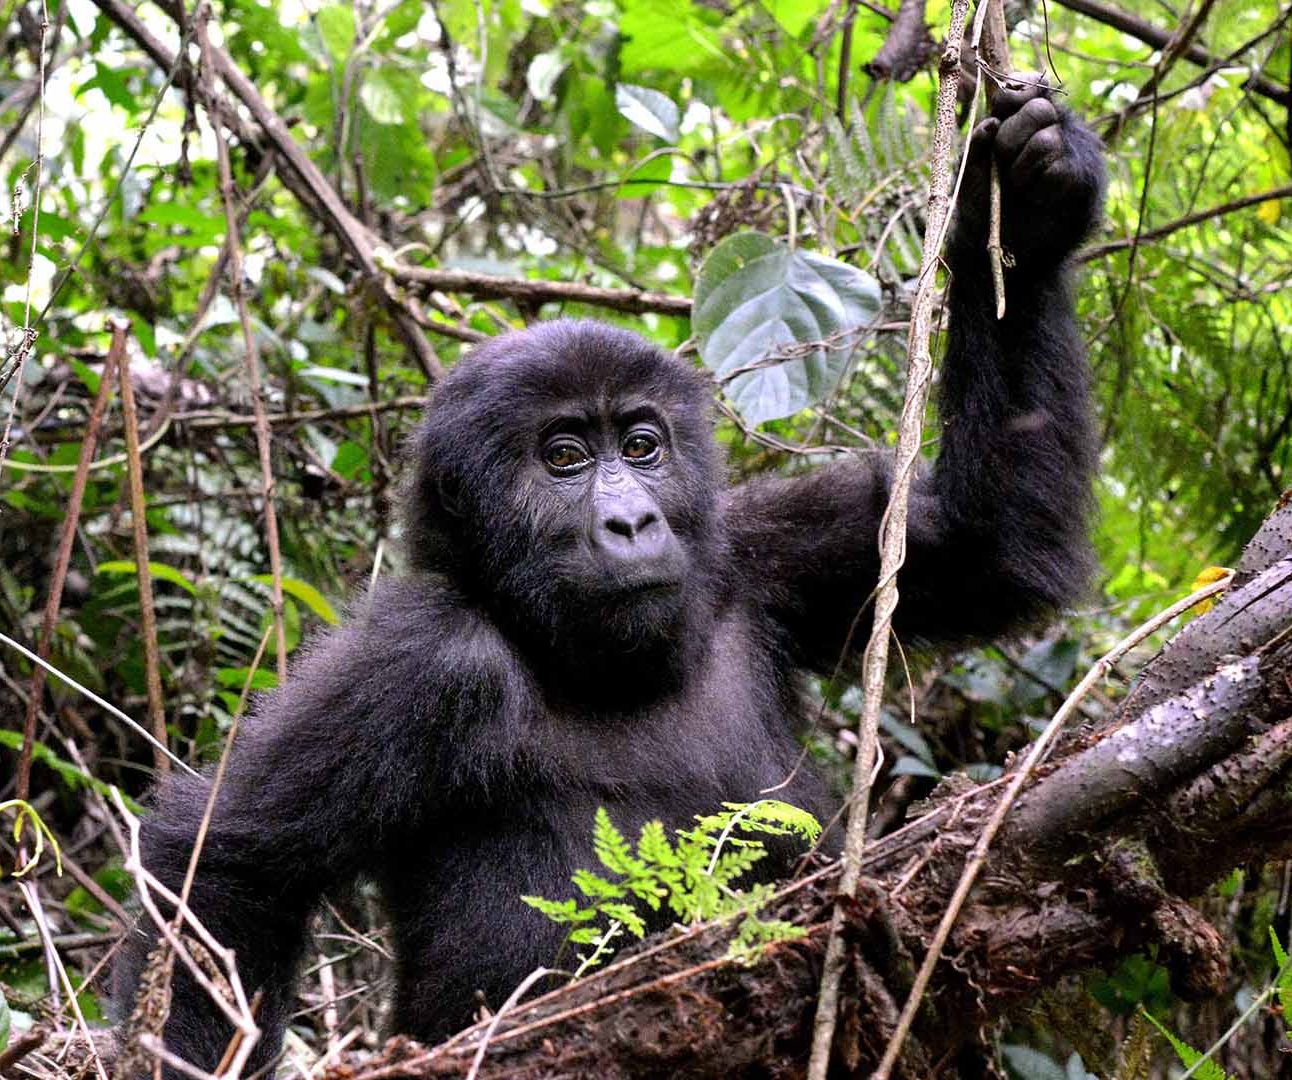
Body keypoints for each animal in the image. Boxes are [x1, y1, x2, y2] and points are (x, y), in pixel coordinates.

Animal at [111, 82, 1105, 1069]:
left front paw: (1033, 206)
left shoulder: (751, 553)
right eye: (563, 458)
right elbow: (226, 865)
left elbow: (989, 547)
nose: (631, 521)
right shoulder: (425, 658)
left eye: (640, 445)